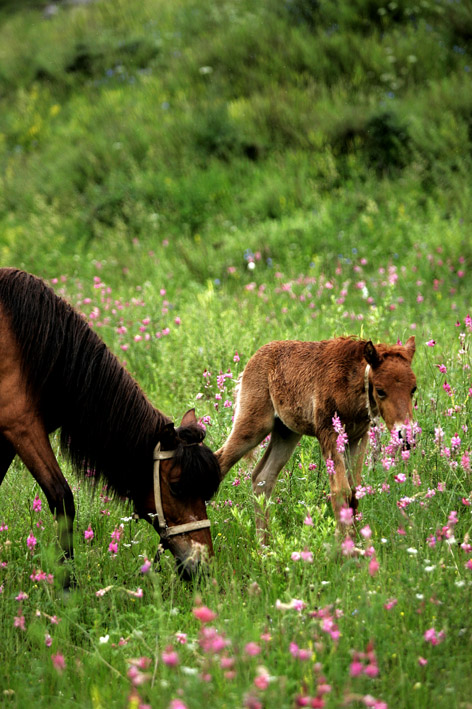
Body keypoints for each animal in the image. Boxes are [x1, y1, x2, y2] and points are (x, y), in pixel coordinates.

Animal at [0, 268, 219, 580]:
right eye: (176, 487)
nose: (203, 567)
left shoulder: (8, 435)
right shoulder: (22, 426)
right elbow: (63, 498)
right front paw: (67, 584)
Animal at [218, 338, 416, 544]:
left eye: (413, 389)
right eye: (380, 390)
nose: (405, 436)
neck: (350, 381)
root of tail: (253, 359)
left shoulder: (357, 437)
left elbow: (354, 490)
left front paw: (356, 543)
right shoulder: (328, 433)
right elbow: (340, 490)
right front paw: (343, 546)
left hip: (286, 433)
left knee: (262, 477)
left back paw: (264, 545)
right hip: (254, 426)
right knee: (221, 461)